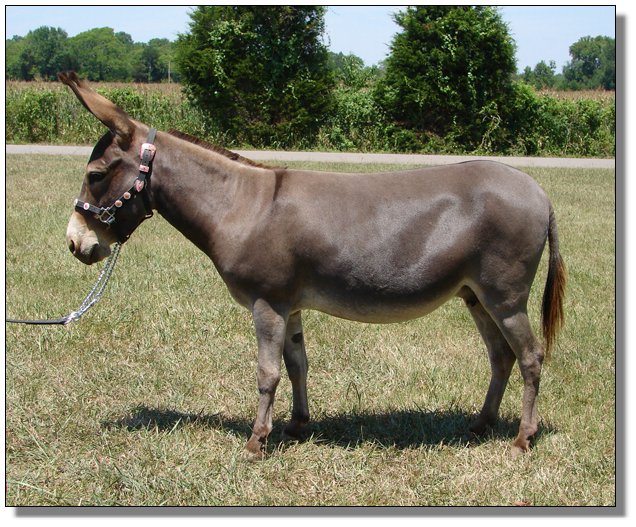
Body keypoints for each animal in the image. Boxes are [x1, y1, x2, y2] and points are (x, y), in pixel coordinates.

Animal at [59, 72, 565, 459]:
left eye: (95, 175)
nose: (74, 243)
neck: (241, 205)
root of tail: (539, 191)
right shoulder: (291, 304)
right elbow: (297, 363)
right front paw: (297, 426)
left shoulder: (267, 302)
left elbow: (267, 373)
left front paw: (255, 443)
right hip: (475, 296)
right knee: (501, 356)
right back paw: (481, 424)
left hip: (505, 296)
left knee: (531, 356)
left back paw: (522, 439)